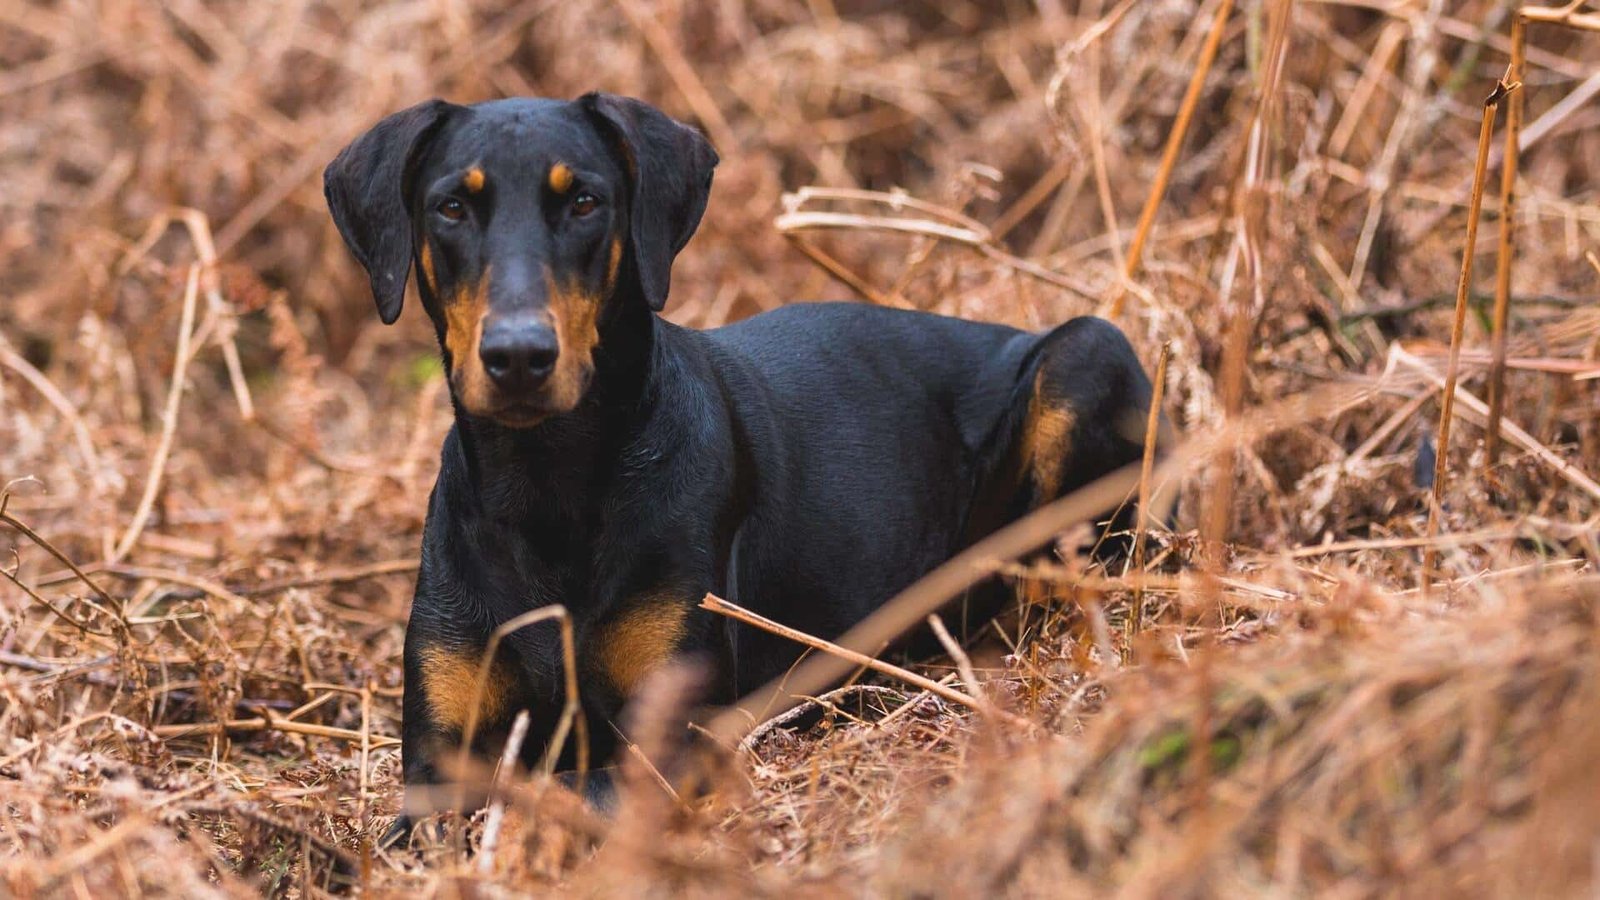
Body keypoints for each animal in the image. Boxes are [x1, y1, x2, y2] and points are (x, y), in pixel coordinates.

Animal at [324, 92, 1158, 839]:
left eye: (586, 202)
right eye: (452, 208)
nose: (519, 356)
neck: (546, 481)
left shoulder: (672, 734)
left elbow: (574, 792)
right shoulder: (436, 759)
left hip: (1085, 354)